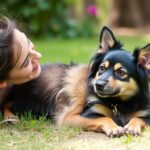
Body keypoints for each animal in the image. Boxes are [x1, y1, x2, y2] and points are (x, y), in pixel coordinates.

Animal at [1, 26, 150, 137]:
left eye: (121, 72)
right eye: (102, 68)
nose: (98, 85)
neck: (119, 103)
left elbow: (138, 118)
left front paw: (132, 126)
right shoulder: (72, 117)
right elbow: (104, 118)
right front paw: (115, 128)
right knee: (6, 104)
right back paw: (10, 117)